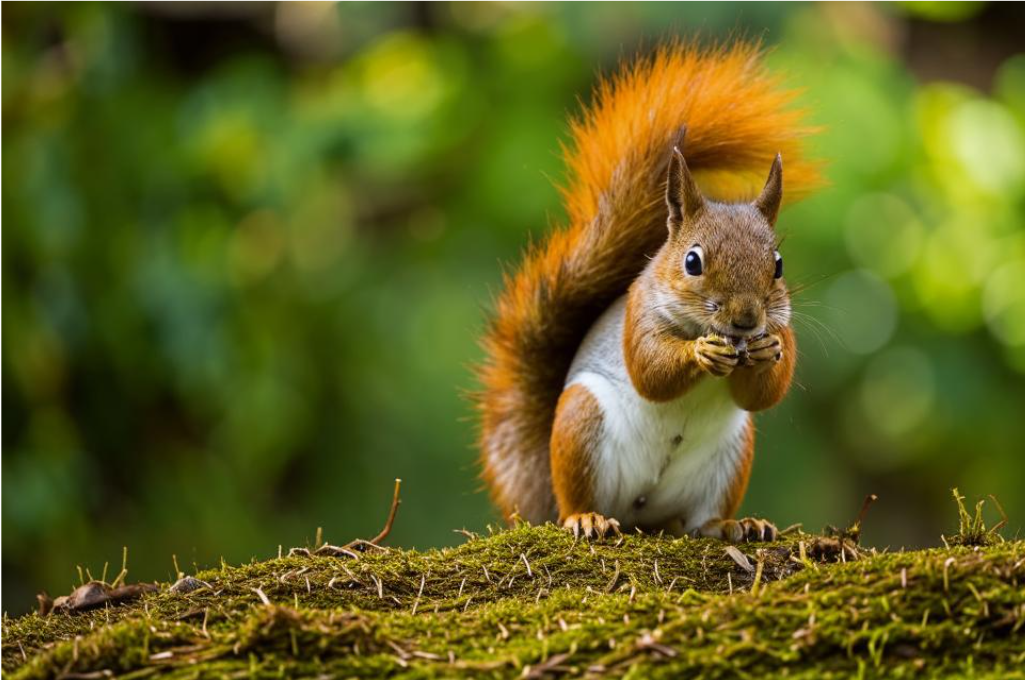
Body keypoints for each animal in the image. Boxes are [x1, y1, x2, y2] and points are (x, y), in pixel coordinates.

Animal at [475, 41, 820, 541]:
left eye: (778, 266)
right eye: (692, 262)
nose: (746, 320)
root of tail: (645, 513)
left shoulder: (782, 329)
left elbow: (763, 393)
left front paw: (765, 350)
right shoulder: (638, 313)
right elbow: (650, 370)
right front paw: (699, 352)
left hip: (732, 454)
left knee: (700, 519)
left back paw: (734, 525)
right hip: (580, 425)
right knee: (579, 498)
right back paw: (587, 517)